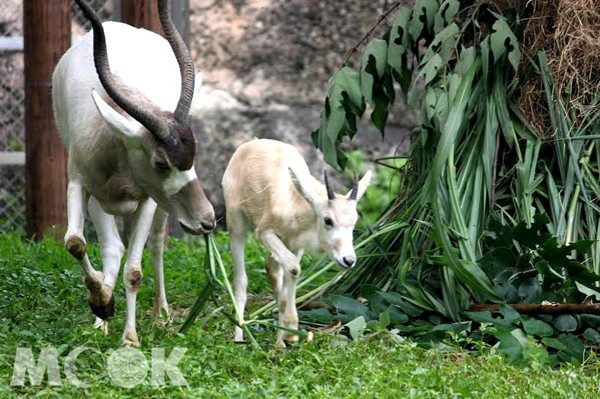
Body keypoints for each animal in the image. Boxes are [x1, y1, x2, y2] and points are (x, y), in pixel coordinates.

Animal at [51, 0, 216, 346]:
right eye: (161, 163)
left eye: (193, 158)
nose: (207, 221)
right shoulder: (81, 184)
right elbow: (75, 243)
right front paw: (102, 304)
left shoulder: (148, 200)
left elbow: (135, 271)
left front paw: (130, 338)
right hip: (100, 200)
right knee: (113, 248)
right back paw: (102, 316)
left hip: (161, 208)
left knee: (155, 243)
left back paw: (161, 313)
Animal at [220, 141, 370, 346]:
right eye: (328, 220)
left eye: (354, 221)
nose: (348, 260)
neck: (294, 201)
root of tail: (251, 144)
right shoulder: (265, 232)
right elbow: (293, 268)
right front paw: (291, 332)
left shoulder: (296, 245)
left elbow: (289, 275)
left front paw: (284, 339)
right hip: (236, 224)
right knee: (241, 280)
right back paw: (239, 337)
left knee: (272, 268)